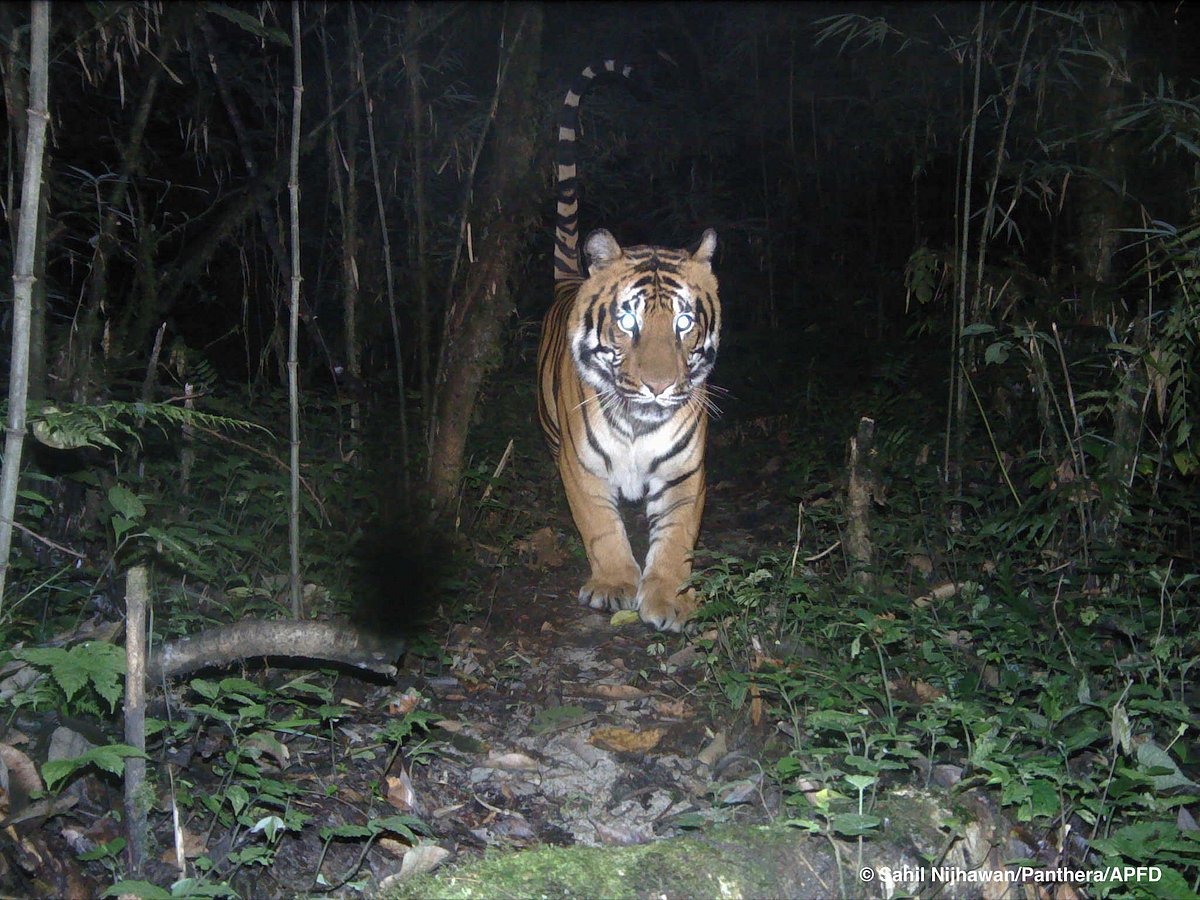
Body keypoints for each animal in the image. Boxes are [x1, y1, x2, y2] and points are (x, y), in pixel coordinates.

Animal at [537, 59, 721, 633]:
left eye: (684, 322)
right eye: (627, 320)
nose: (659, 388)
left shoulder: (686, 471)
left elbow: (678, 537)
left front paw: (671, 600)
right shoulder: (581, 466)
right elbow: (600, 525)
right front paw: (616, 584)